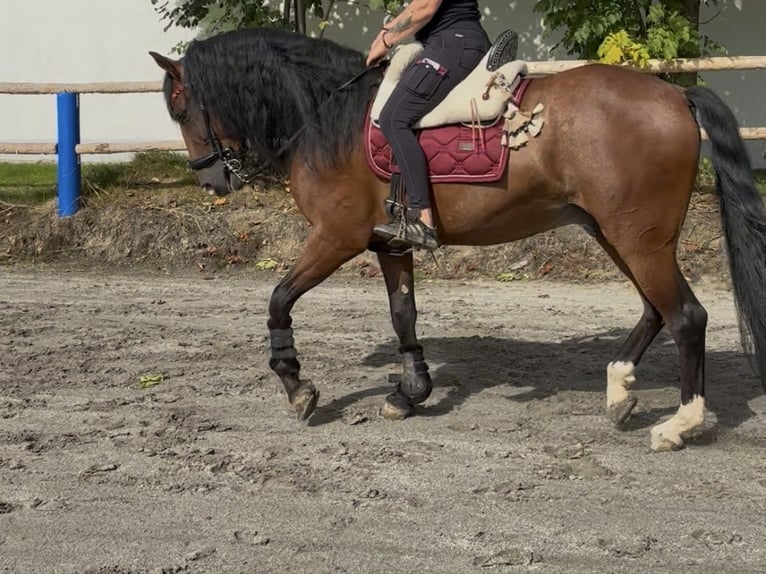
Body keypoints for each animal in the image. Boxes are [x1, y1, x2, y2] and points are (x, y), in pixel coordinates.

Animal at [150, 27, 766, 451]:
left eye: (180, 107)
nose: (211, 181)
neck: (331, 116)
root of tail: (673, 96)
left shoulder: (335, 237)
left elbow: (279, 300)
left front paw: (297, 385)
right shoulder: (391, 243)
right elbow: (403, 316)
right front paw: (410, 392)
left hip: (638, 238)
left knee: (686, 316)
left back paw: (680, 423)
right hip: (619, 234)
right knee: (655, 309)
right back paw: (619, 392)